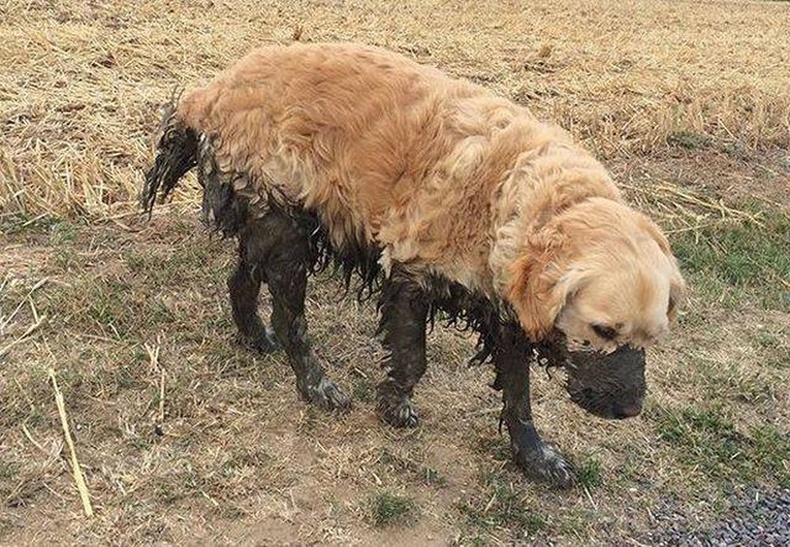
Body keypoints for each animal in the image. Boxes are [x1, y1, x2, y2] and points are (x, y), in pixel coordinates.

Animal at [142, 41, 688, 488]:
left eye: (655, 337)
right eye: (602, 330)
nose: (629, 409)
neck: (517, 194)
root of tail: (212, 90)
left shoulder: (504, 310)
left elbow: (519, 395)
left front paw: (534, 456)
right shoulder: (411, 272)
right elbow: (412, 358)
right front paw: (394, 406)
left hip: (272, 225)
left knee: (240, 278)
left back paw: (256, 337)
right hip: (287, 230)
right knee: (290, 316)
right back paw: (315, 383)